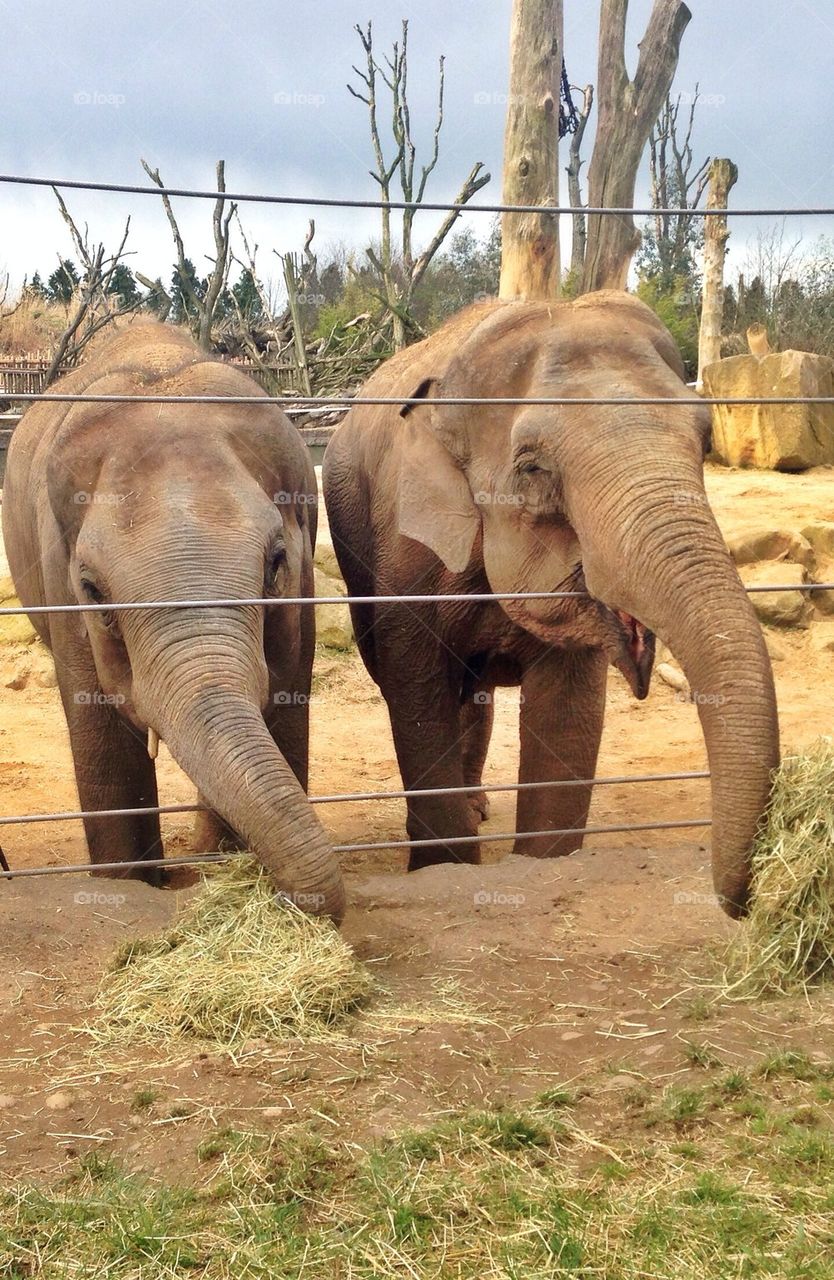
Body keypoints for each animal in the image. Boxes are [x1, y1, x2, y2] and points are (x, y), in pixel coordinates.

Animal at [2, 322, 344, 921]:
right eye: (92, 590)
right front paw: (129, 885)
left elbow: (284, 703)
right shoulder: (58, 582)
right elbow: (99, 727)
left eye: (276, 563)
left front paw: (224, 864)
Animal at [323, 292, 779, 919]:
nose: (737, 902)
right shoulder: (406, 555)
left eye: (706, 442)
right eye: (533, 467)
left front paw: (542, 861)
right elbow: (416, 691)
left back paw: (480, 808)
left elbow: (564, 710)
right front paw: (445, 867)